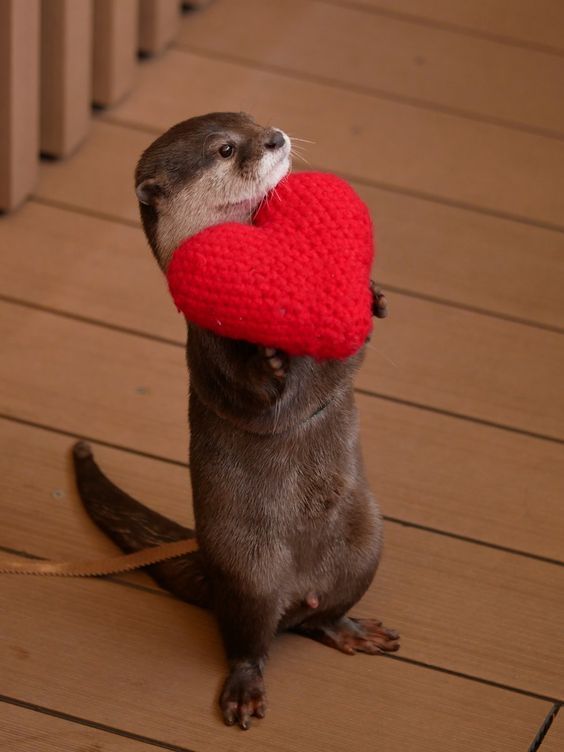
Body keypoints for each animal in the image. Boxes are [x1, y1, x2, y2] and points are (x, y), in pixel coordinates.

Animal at [72, 112, 399, 731]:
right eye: (226, 149)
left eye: (254, 121)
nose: (275, 138)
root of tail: (301, 591)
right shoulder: (207, 346)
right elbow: (250, 399)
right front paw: (266, 360)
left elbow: (348, 361)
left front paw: (371, 295)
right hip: (248, 571)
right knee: (248, 638)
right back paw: (245, 687)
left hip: (365, 546)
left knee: (322, 615)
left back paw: (347, 629)